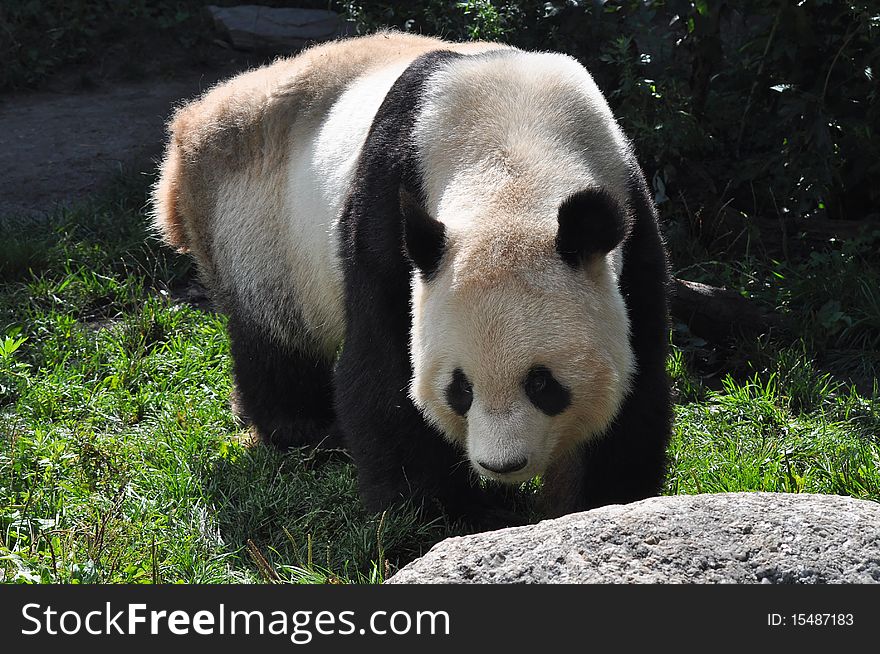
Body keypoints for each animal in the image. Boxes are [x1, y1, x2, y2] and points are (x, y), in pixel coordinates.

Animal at [153, 30, 672, 528]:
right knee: (278, 340)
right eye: (460, 389)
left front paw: (596, 506)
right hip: (258, 225)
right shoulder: (390, 200)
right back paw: (308, 430)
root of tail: (192, 123)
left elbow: (635, 384)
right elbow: (383, 366)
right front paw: (446, 515)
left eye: (542, 384)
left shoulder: (631, 214)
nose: (502, 466)